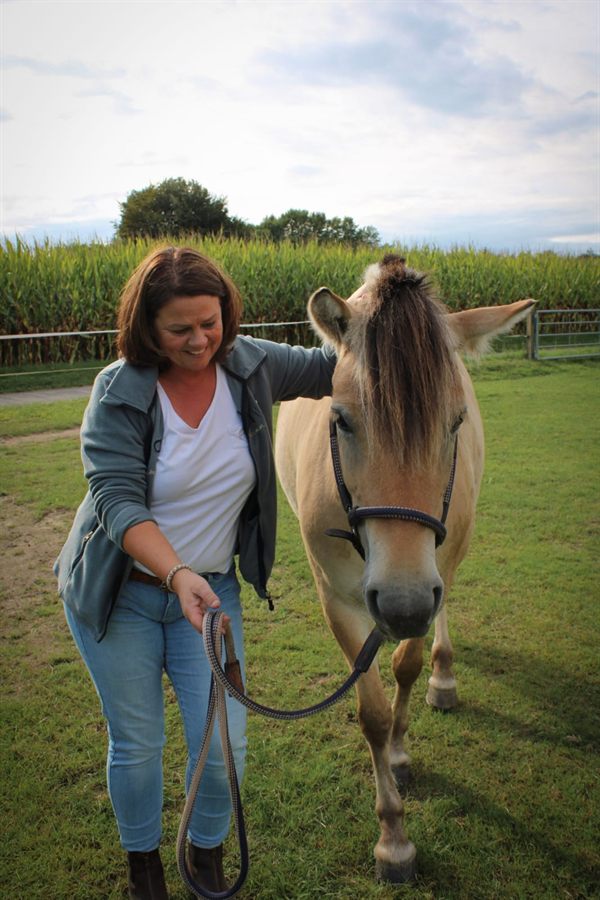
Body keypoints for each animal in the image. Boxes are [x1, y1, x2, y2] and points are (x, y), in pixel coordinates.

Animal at [274, 254, 534, 883]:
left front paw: (399, 747)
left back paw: (444, 677)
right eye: (341, 420)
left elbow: (406, 664)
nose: (402, 603)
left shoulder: (435, 573)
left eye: (455, 421)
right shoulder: (337, 598)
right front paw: (393, 838)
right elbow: (369, 709)